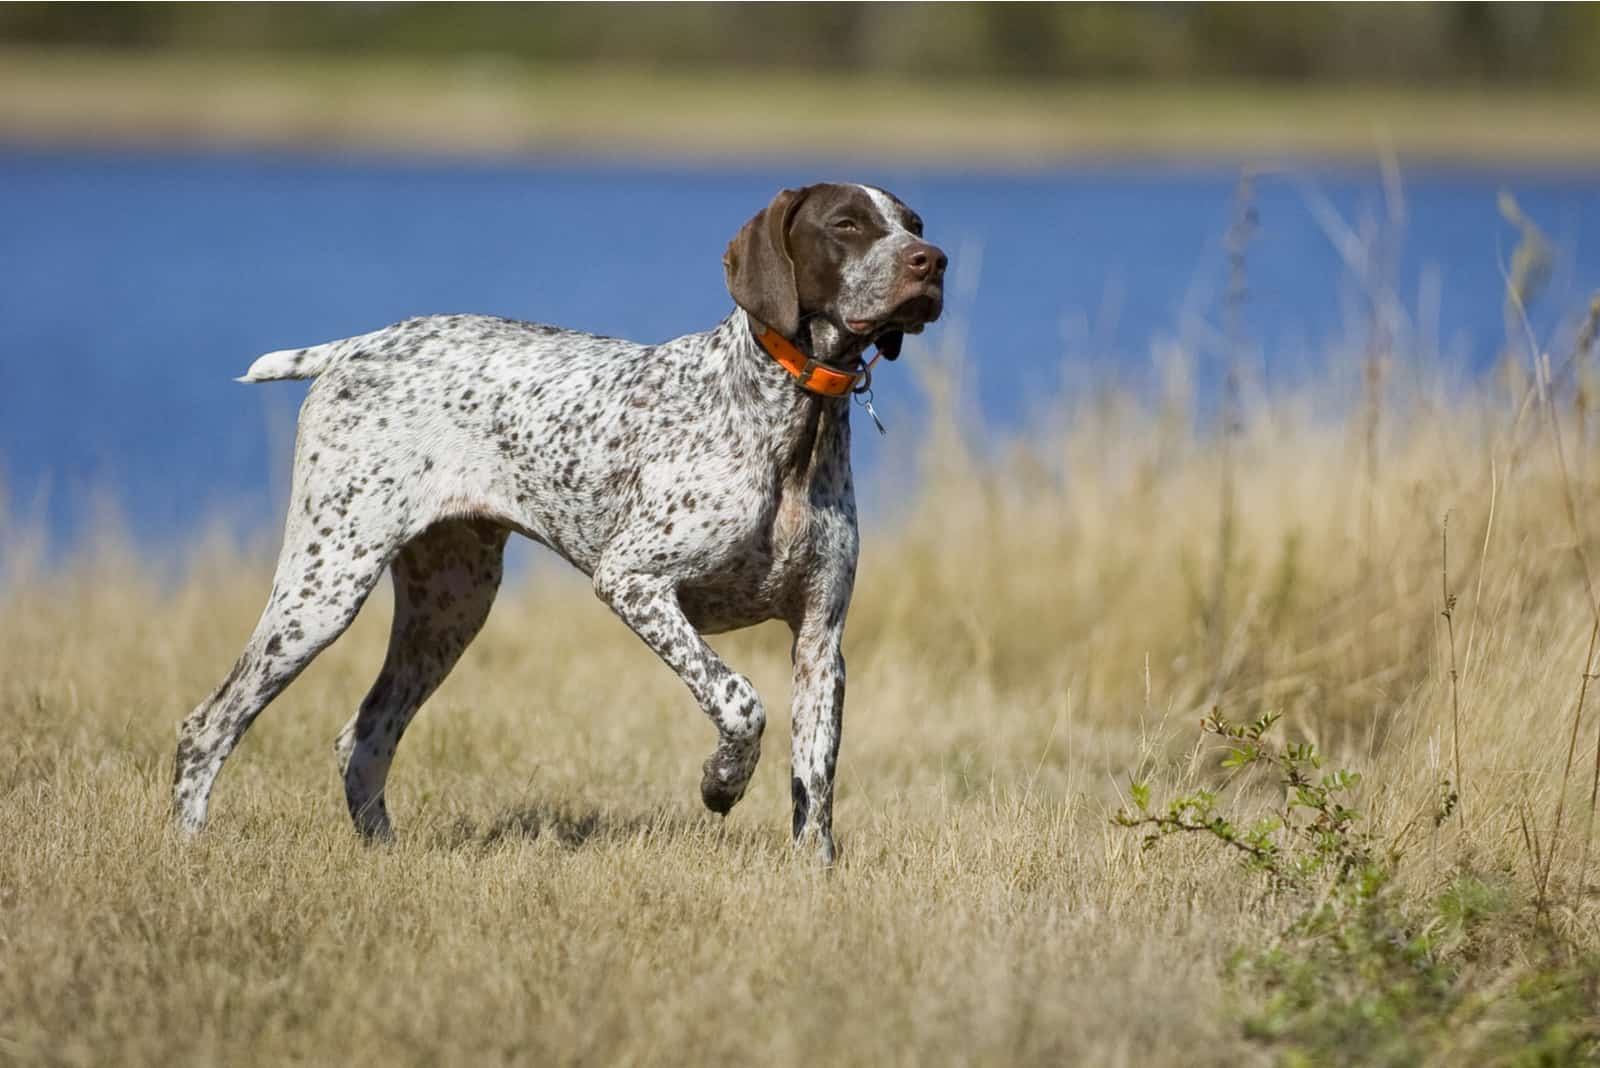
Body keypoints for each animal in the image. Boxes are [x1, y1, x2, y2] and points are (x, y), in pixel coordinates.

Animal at [172, 183, 947, 863]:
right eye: (846, 224)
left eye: (912, 222)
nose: (932, 261)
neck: (793, 417)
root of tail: (356, 346)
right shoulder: (633, 581)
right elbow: (738, 700)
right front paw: (721, 783)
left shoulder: (820, 641)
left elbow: (815, 785)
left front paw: (813, 874)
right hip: (325, 587)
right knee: (207, 725)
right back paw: (190, 848)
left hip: (448, 610)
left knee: (363, 739)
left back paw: (383, 855)